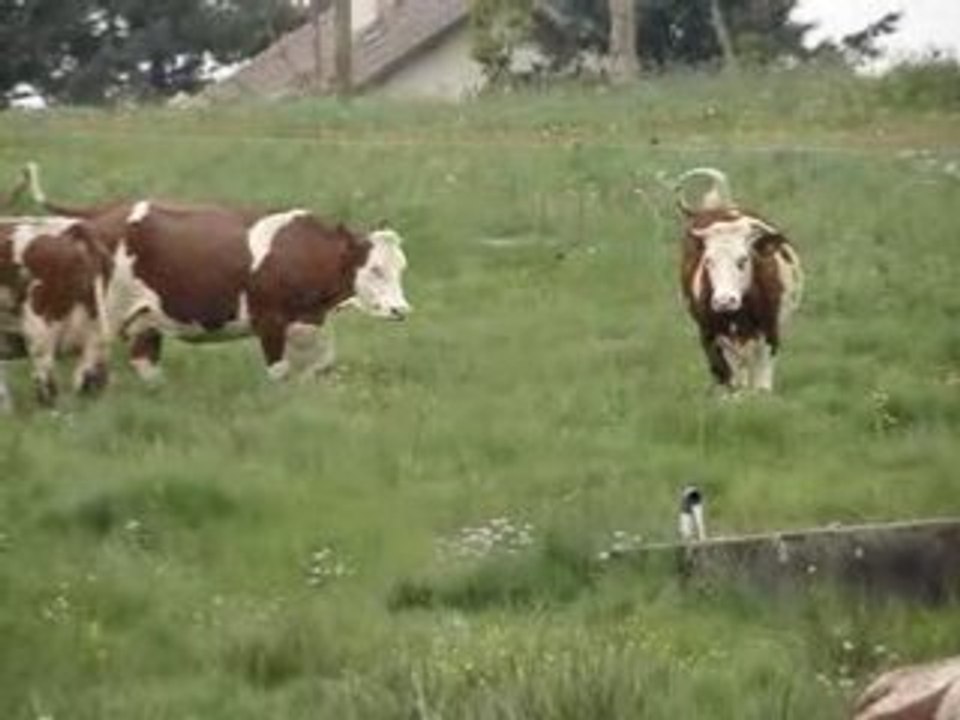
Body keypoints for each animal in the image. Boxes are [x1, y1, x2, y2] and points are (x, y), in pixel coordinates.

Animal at [22, 163, 411, 383]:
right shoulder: (268, 320)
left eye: (401, 267)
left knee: (144, 362)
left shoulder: (310, 321)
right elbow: (279, 373)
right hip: (103, 313)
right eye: (375, 269)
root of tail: (103, 213)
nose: (401, 310)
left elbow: (323, 364)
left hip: (145, 320)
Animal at [676, 167, 803, 393]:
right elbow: (728, 379)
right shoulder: (712, 337)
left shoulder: (770, 335)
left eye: (743, 259)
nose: (725, 301)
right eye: (708, 261)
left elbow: (762, 385)